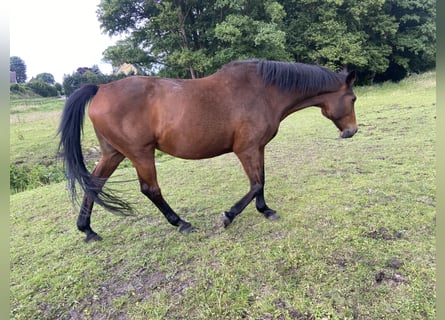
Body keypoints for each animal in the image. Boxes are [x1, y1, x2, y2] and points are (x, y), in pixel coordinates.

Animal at [58, 60, 358, 241]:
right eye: (353, 98)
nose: (352, 130)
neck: (264, 92)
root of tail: (100, 88)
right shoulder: (246, 149)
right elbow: (255, 184)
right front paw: (228, 216)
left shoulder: (257, 148)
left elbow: (260, 182)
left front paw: (265, 210)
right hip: (140, 153)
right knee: (150, 189)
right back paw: (180, 222)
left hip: (114, 153)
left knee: (94, 184)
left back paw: (87, 230)